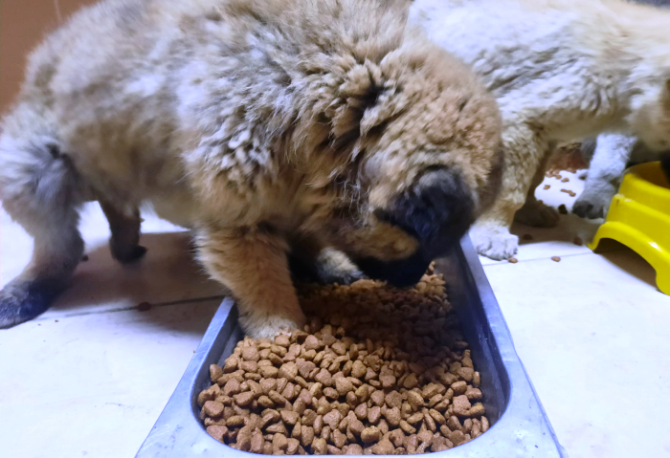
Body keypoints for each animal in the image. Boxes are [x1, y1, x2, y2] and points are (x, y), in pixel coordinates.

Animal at [0, 0, 504, 336]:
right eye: (415, 244)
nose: (413, 281)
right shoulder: (238, 219)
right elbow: (263, 279)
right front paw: (280, 334)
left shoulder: (295, 193)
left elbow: (306, 233)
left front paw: (327, 261)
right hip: (28, 169)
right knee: (60, 244)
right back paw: (28, 290)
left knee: (114, 203)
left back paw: (125, 243)